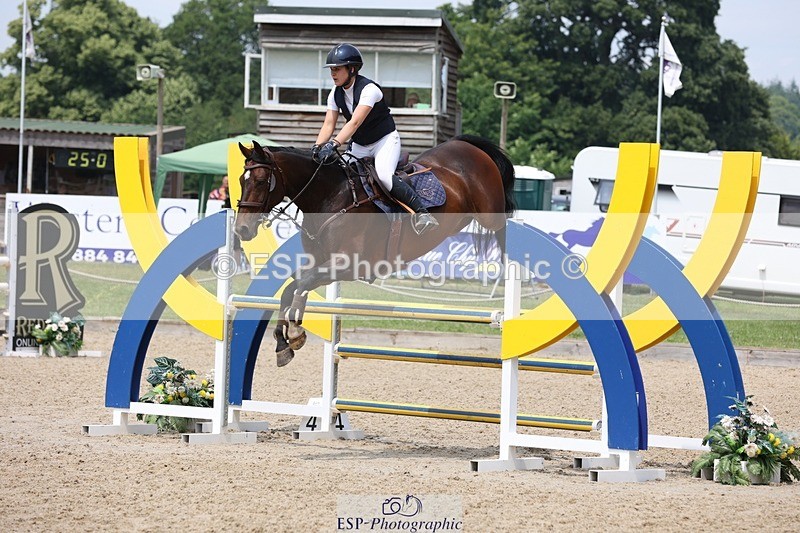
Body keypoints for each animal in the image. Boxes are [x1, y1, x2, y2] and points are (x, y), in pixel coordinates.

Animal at [235, 135, 516, 366]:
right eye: (240, 180)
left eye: (261, 181)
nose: (241, 230)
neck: (330, 196)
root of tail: (467, 146)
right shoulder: (321, 262)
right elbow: (291, 288)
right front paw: (284, 344)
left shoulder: (350, 265)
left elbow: (302, 284)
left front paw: (294, 332)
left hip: (490, 213)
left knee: (504, 227)